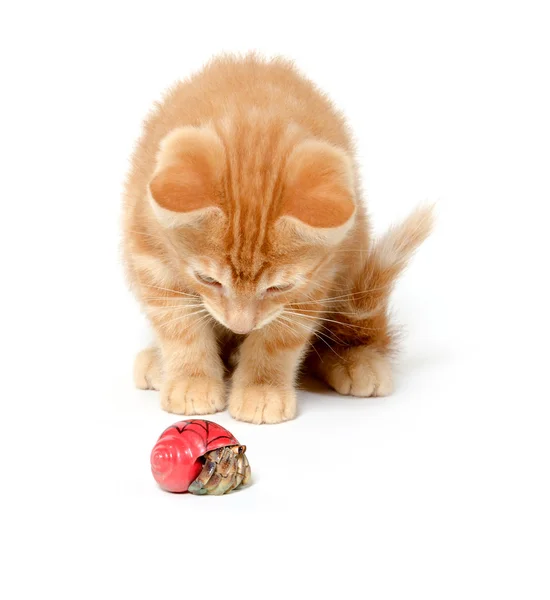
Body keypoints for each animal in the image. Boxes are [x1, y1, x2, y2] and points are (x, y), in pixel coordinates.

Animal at [123, 54, 434, 424]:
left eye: (278, 287)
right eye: (207, 279)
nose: (241, 325)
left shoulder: (315, 280)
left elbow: (278, 338)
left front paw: (262, 390)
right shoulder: (146, 250)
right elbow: (179, 324)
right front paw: (192, 381)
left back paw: (355, 359)